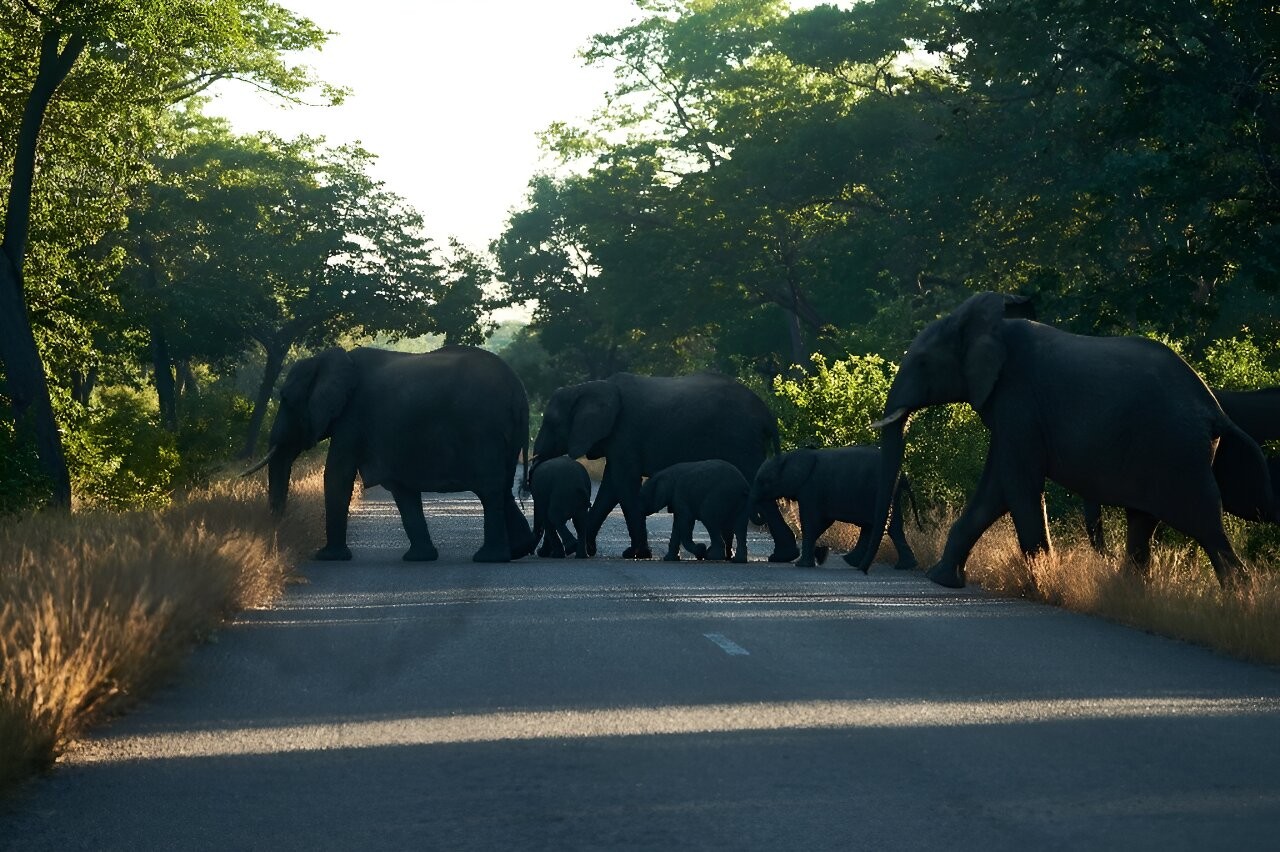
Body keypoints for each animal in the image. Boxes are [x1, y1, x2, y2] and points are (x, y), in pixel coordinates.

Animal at [247, 342, 532, 560]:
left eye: (286, 399)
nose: (276, 533)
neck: (332, 359)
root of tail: (519, 390)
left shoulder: (353, 417)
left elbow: (337, 475)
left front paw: (328, 557)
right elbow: (401, 488)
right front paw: (419, 558)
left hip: (482, 431)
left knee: (490, 490)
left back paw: (489, 558)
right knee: (502, 488)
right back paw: (517, 552)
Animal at [524, 370, 793, 557]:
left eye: (550, 422)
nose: (540, 552)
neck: (591, 387)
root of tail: (765, 412)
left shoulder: (626, 433)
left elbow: (623, 484)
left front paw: (636, 554)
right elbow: (611, 488)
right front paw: (589, 549)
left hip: (739, 438)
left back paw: (782, 556)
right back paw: (783, 555)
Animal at [747, 445, 921, 570]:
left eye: (764, 481)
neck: (790, 456)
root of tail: (902, 474)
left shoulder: (811, 488)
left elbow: (811, 521)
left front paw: (803, 564)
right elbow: (821, 523)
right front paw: (820, 555)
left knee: (884, 526)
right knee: (886, 526)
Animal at [855, 290, 1274, 583]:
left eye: (924, 363)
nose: (861, 567)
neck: (992, 327)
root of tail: (1213, 410)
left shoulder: (1018, 400)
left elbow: (1017, 484)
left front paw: (1041, 584)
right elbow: (997, 487)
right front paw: (942, 580)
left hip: (1178, 454)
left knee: (1205, 526)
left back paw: (1238, 599)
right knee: (1144, 523)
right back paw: (1127, 594)